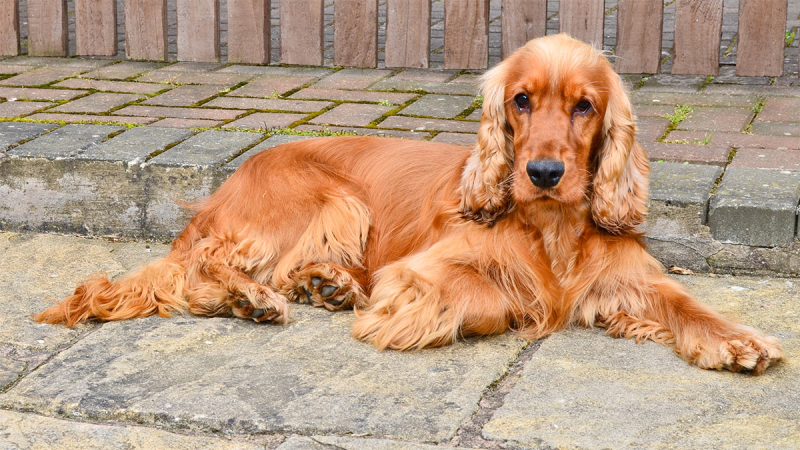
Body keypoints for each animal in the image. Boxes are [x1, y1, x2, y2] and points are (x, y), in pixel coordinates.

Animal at [36, 34, 780, 372]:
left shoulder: (625, 281)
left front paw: (739, 339)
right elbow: (494, 298)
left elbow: (686, 304)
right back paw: (261, 297)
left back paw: (324, 285)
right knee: (202, 271)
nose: (542, 171)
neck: (552, 228)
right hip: (330, 197)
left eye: (584, 106)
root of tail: (228, 184)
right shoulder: (419, 271)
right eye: (520, 101)